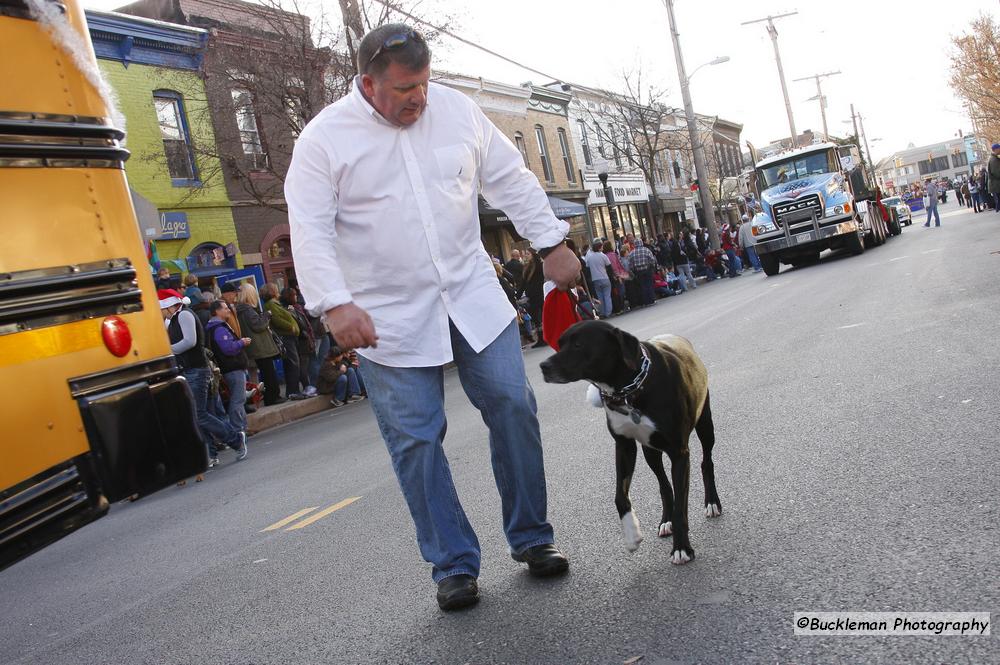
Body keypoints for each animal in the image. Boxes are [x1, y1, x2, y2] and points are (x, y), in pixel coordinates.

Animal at [544, 320, 724, 564]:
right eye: (559, 344)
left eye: (578, 344)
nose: (543, 366)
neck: (630, 389)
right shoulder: (624, 446)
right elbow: (620, 496)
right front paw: (632, 535)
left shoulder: (679, 452)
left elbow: (681, 507)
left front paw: (682, 548)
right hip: (650, 451)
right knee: (664, 485)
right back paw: (665, 520)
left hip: (705, 424)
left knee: (706, 462)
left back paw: (712, 502)